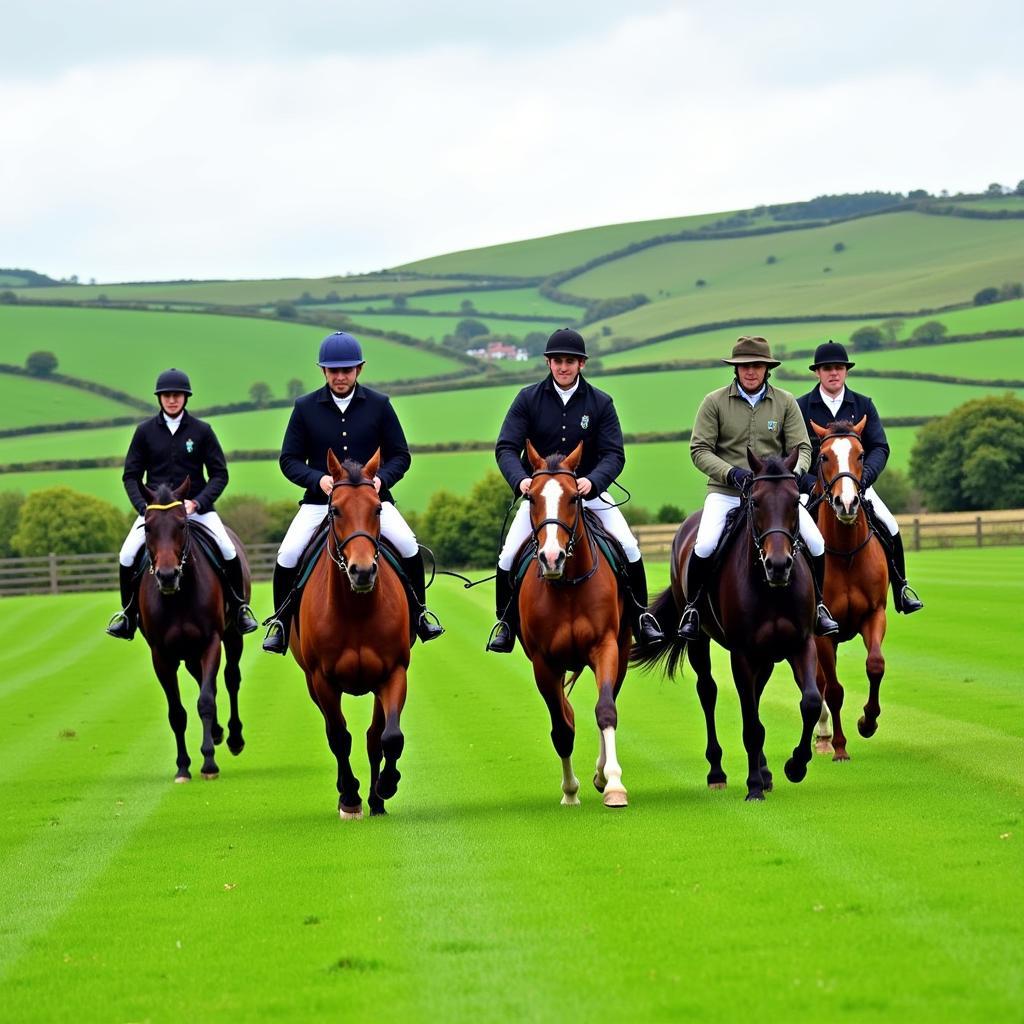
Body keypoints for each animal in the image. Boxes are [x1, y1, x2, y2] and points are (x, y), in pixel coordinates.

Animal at [136, 483, 249, 778]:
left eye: (182, 525)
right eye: (148, 527)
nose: (167, 576)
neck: (179, 597)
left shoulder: (211, 641)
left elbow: (206, 700)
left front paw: (209, 762)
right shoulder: (161, 655)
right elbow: (177, 713)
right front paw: (183, 767)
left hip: (232, 636)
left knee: (230, 678)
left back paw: (234, 738)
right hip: (187, 652)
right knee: (202, 678)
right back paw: (218, 732)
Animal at [290, 448, 409, 815]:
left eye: (377, 508)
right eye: (335, 510)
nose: (362, 571)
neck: (356, 610)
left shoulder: (394, 672)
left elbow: (389, 737)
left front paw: (386, 786)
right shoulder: (322, 680)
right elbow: (339, 737)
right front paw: (351, 798)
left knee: (374, 736)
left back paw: (377, 799)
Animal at [520, 440, 630, 806]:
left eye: (573, 497)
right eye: (532, 498)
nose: (552, 558)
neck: (567, 585)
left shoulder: (605, 647)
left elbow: (605, 710)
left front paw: (613, 784)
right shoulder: (544, 663)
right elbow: (562, 727)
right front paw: (570, 792)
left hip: (621, 652)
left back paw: (601, 774)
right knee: (565, 714)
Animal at [630, 452, 823, 802]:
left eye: (794, 501)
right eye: (756, 502)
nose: (778, 565)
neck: (770, 588)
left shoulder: (801, 644)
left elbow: (810, 703)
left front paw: (795, 766)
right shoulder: (742, 654)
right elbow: (751, 725)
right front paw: (754, 787)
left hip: (767, 656)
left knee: (757, 698)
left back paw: (766, 770)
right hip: (700, 642)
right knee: (708, 692)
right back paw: (717, 773)